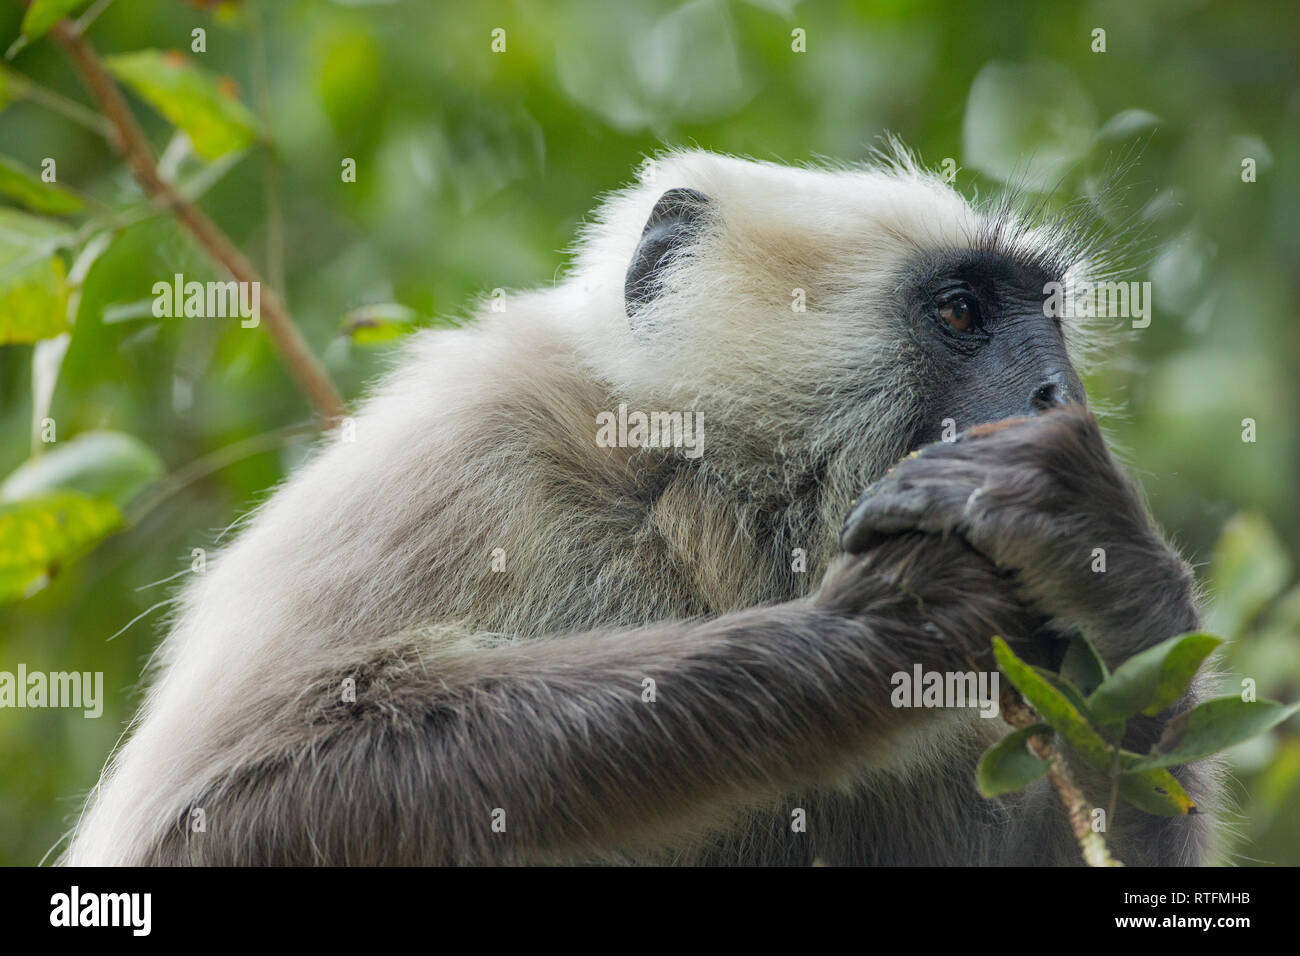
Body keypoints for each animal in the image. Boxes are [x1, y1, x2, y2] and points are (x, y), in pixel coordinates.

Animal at [63, 147, 1216, 868]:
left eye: (1046, 323)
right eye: (963, 313)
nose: (1058, 397)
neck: (687, 504)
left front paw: (1103, 561)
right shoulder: (470, 459)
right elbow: (211, 821)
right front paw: (888, 631)